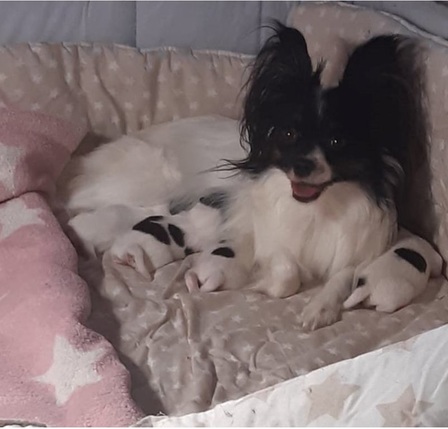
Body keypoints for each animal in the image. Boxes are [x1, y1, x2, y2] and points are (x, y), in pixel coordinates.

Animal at [59, 23, 429, 330]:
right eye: (288, 134)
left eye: (337, 141)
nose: (302, 166)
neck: (316, 207)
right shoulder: (262, 237)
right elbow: (287, 274)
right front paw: (262, 285)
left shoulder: (354, 251)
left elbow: (342, 277)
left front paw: (320, 308)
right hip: (151, 181)